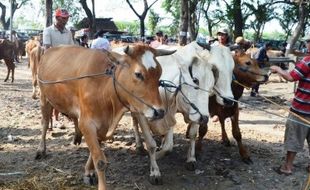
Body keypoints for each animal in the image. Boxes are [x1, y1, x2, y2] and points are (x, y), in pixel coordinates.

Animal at [35, 45, 173, 190]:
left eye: (159, 73)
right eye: (138, 74)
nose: (160, 111)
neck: (104, 88)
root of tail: (50, 49)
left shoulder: (111, 121)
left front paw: (88, 172)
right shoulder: (87, 123)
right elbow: (100, 161)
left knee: (72, 118)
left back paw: (77, 136)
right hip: (44, 98)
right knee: (44, 123)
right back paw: (41, 150)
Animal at [130, 41, 234, 184]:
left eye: (232, 69)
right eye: (195, 80)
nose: (229, 100)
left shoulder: (193, 113)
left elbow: (188, 136)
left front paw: (191, 159)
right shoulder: (144, 114)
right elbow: (151, 144)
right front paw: (154, 171)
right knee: (134, 123)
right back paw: (139, 145)